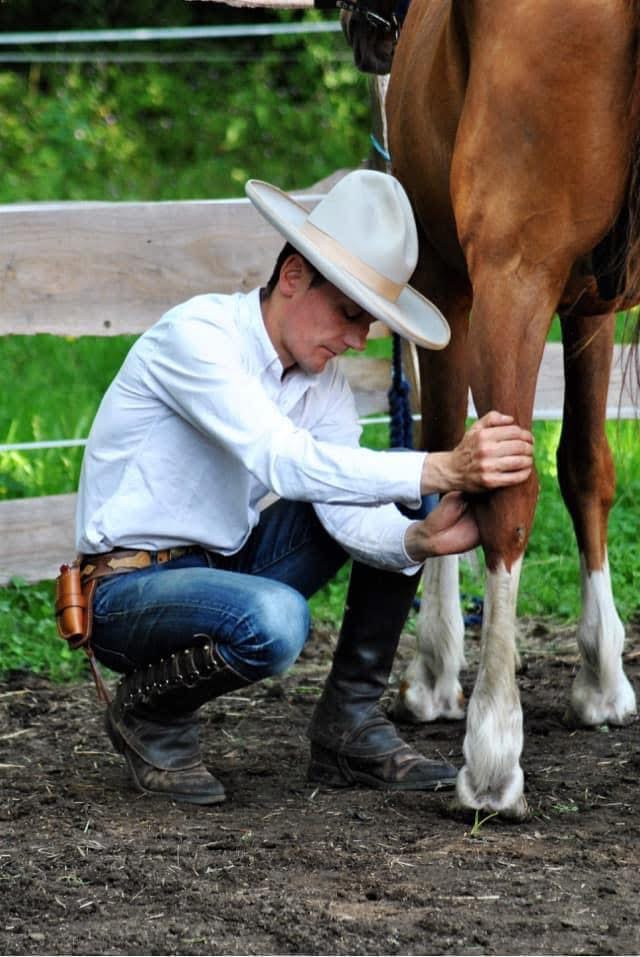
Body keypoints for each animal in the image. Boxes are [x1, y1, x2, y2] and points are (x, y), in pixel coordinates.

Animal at [343, 0, 640, 818]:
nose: (364, 33)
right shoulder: (588, 308)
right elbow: (586, 466)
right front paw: (603, 678)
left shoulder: (444, 288)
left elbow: (447, 458)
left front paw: (435, 674)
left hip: (512, 272)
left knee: (508, 497)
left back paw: (492, 753)